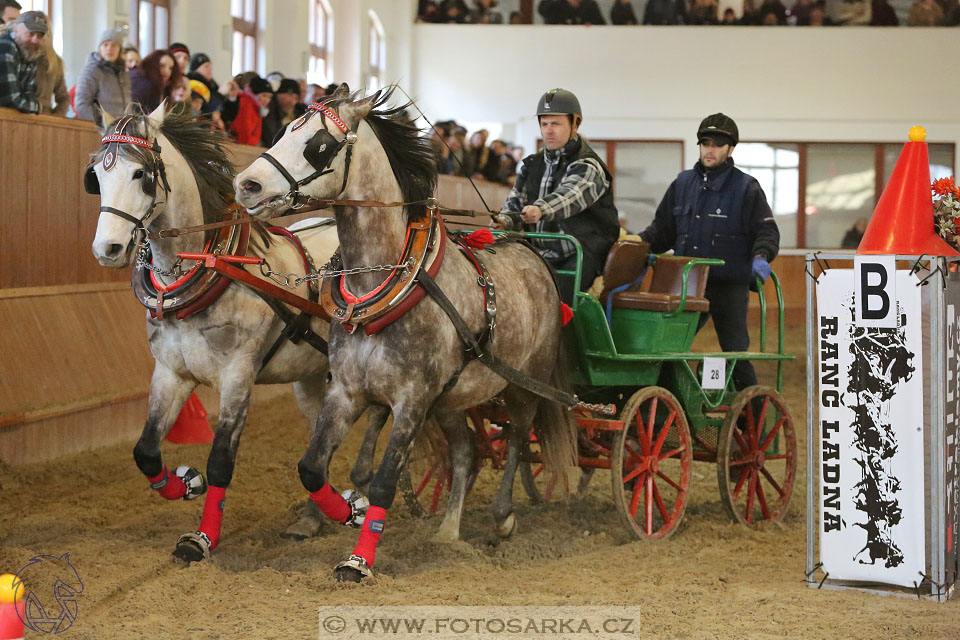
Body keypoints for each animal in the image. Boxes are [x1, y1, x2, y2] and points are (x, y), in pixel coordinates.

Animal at [236, 87, 576, 584]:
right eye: (282, 130)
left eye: (320, 144)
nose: (246, 184)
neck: (383, 282)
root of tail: (534, 257)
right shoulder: (347, 391)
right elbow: (312, 469)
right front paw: (345, 513)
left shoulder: (412, 399)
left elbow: (383, 483)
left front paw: (358, 560)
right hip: (453, 398)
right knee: (465, 451)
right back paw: (448, 532)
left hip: (522, 385)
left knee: (516, 440)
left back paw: (502, 517)